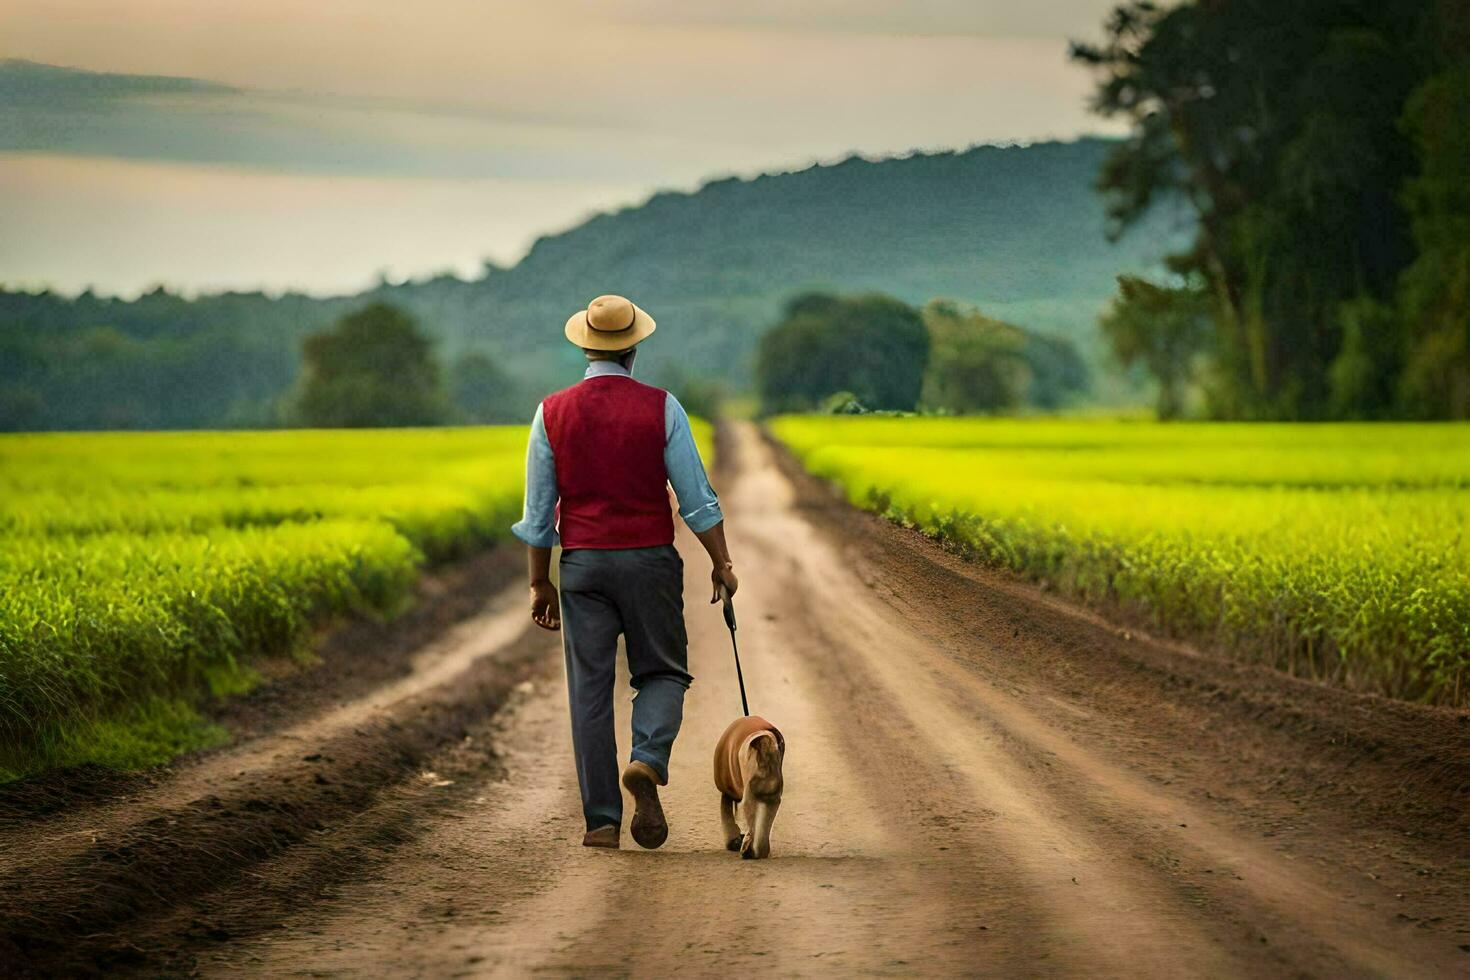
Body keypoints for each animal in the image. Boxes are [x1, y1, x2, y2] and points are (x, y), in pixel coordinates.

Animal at [711, 714, 782, 858]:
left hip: (749, 799)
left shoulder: (727, 793)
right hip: (771, 800)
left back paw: (747, 848)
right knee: (763, 826)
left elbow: (727, 817)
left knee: (751, 825)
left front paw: (734, 841)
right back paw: (758, 850)